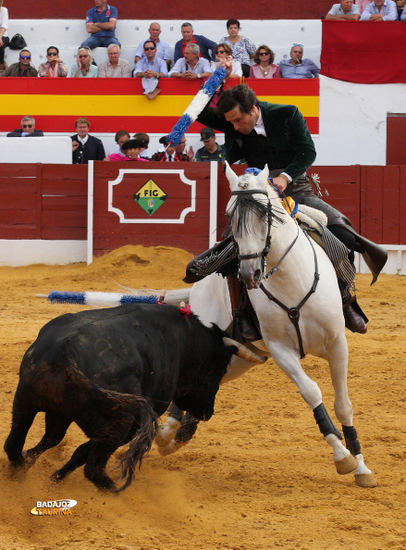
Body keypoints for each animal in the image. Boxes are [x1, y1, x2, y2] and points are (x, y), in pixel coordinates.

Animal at [3, 304, 264, 494]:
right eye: (220, 369)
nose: (207, 412)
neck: (187, 342)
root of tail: (65, 355)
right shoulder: (136, 423)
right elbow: (81, 452)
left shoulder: (60, 414)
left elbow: (60, 444)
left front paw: (50, 477)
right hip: (117, 425)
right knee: (93, 469)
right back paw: (116, 492)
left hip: (25, 402)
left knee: (16, 443)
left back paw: (18, 473)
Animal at [156, 164, 378, 492]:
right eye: (230, 215)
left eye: (266, 214)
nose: (249, 273)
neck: (290, 278)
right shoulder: (281, 350)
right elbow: (312, 392)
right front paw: (341, 455)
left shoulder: (338, 343)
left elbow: (343, 404)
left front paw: (361, 466)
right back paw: (169, 432)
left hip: (239, 358)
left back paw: (175, 433)